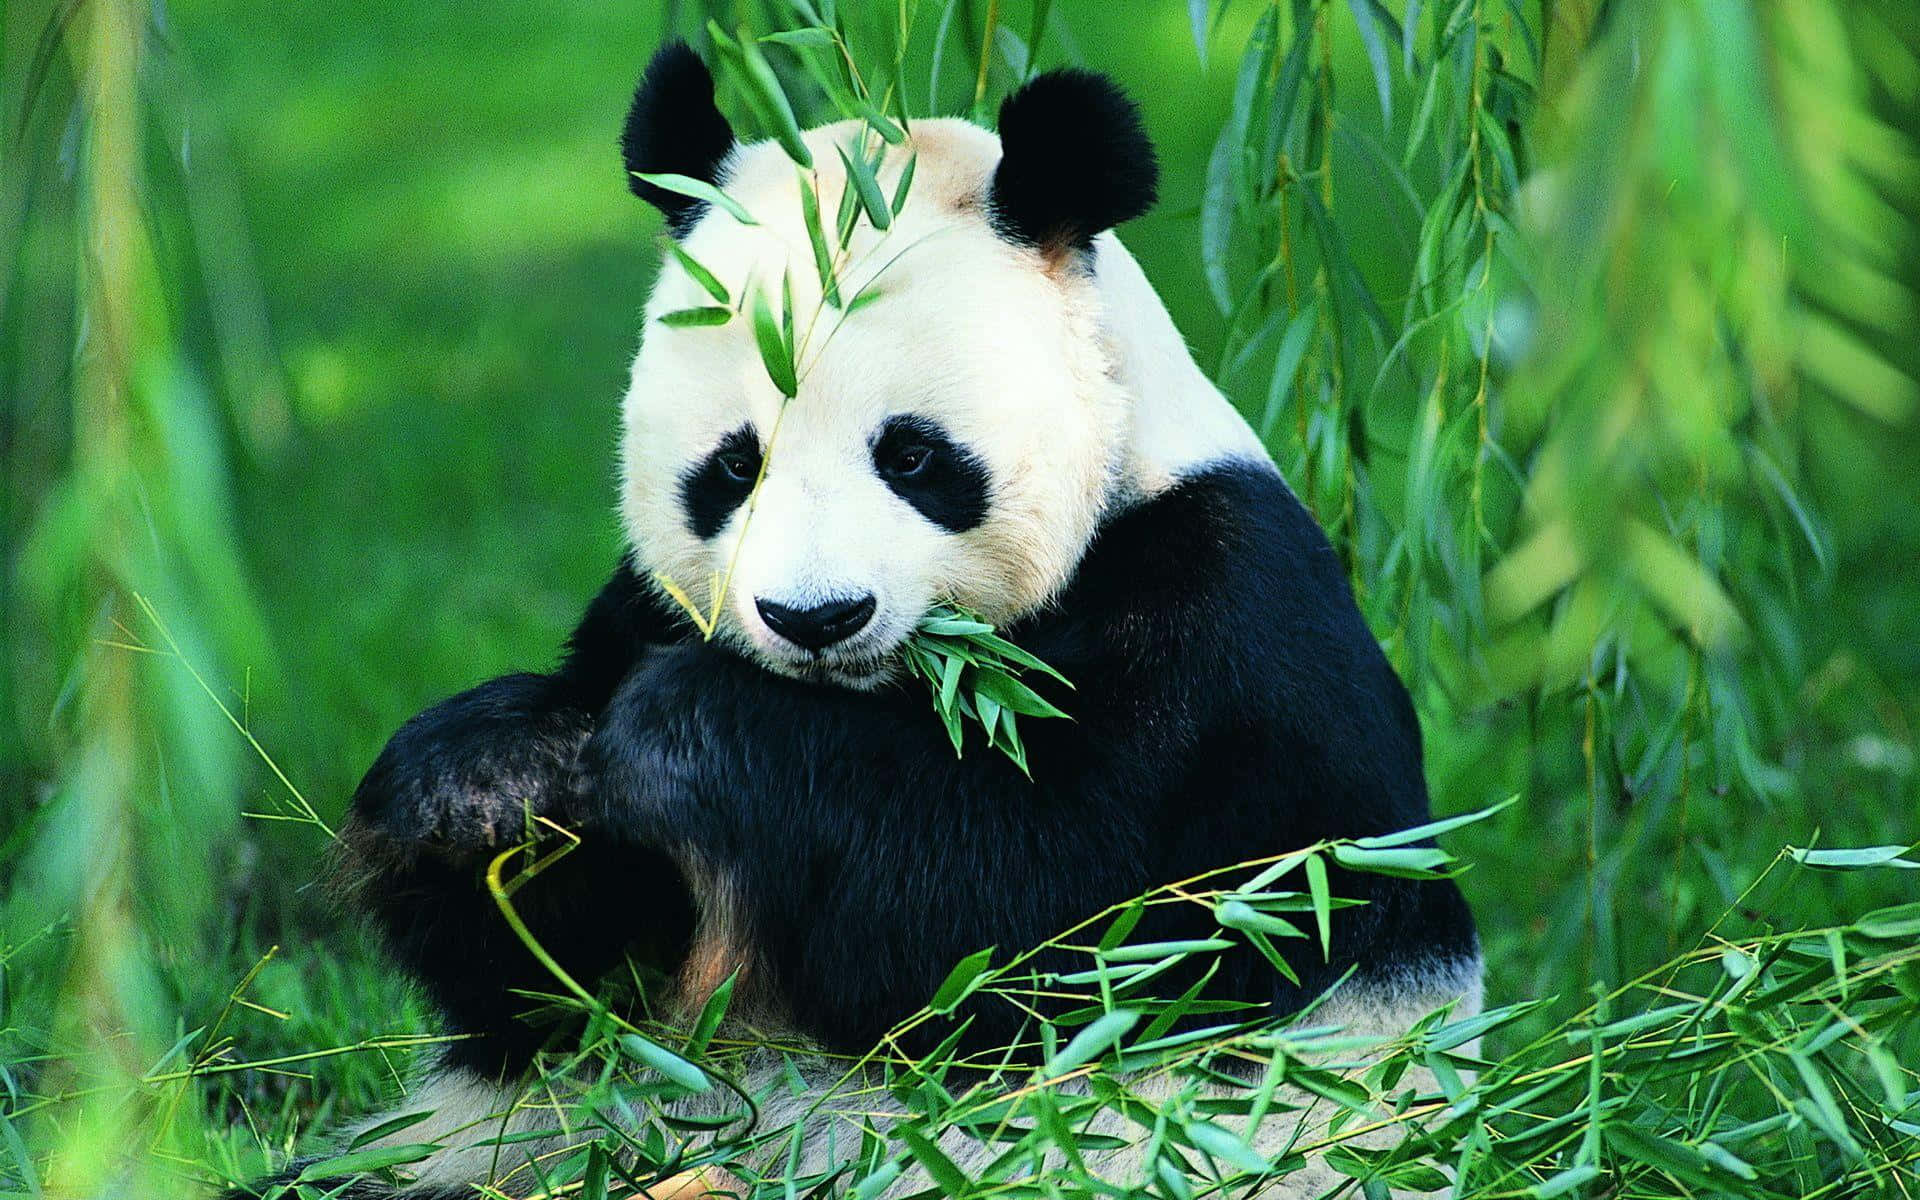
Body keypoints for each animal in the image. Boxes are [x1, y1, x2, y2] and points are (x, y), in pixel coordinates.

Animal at [228, 42, 1482, 1190]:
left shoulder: (1225, 628)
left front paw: (689, 734)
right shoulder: (641, 610)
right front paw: (487, 779)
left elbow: (1052, 922)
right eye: (733, 466)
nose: (815, 618)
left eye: (913, 456)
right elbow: (562, 986)